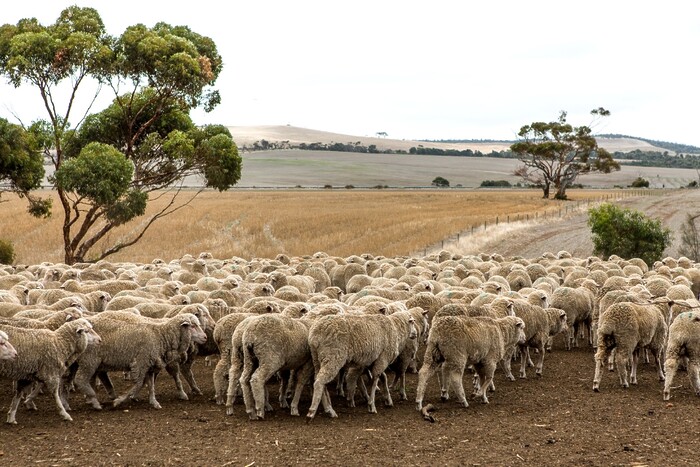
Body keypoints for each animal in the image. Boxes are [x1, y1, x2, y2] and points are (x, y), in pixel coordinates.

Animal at [74, 312, 206, 410]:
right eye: (193, 326)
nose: (205, 337)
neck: (161, 336)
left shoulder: (149, 365)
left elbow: (151, 385)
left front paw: (154, 402)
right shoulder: (141, 363)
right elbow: (138, 384)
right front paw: (120, 401)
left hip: (94, 362)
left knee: (94, 377)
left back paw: (94, 397)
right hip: (89, 360)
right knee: (81, 379)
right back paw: (95, 401)